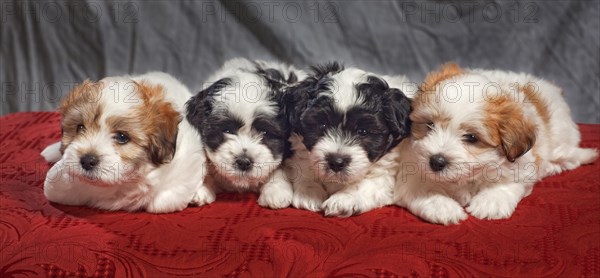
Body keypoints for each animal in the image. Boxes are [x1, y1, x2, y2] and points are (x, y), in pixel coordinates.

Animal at [41, 71, 213, 213]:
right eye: (80, 127)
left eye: (122, 137)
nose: (87, 160)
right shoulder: (58, 183)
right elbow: (55, 188)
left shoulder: (188, 157)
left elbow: (162, 202)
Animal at [284, 63, 414, 217]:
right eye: (322, 125)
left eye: (363, 131)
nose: (336, 162)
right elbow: (303, 166)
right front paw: (309, 191)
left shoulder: (386, 172)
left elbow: (368, 184)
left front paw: (344, 199)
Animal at [396, 62, 596, 224]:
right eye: (429, 125)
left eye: (471, 138)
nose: (436, 161)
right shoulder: (411, 164)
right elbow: (421, 187)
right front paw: (442, 206)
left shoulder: (522, 164)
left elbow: (509, 181)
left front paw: (491, 201)